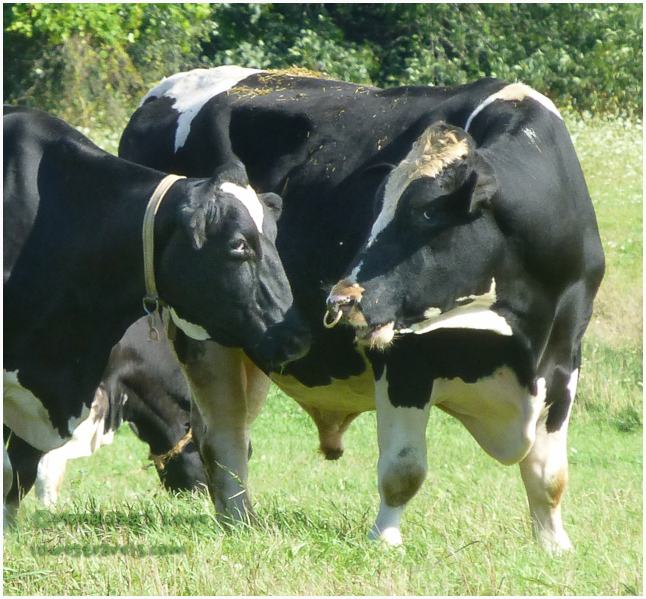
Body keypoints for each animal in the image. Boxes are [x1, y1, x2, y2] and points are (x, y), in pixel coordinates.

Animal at [119, 66, 604, 553]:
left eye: (424, 216)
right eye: (375, 210)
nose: (341, 299)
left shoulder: (563, 360)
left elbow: (549, 475)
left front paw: (554, 546)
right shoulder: (407, 358)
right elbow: (404, 469)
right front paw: (385, 539)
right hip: (200, 333)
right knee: (223, 435)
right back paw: (242, 521)